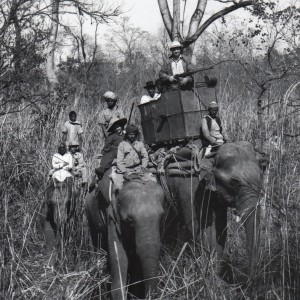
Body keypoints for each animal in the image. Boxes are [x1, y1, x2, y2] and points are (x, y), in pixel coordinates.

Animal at [163, 142, 266, 278]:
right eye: (233, 182)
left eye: (261, 178)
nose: (250, 280)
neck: (213, 154)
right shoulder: (190, 186)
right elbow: (201, 229)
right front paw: (212, 277)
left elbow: (221, 230)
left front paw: (215, 275)